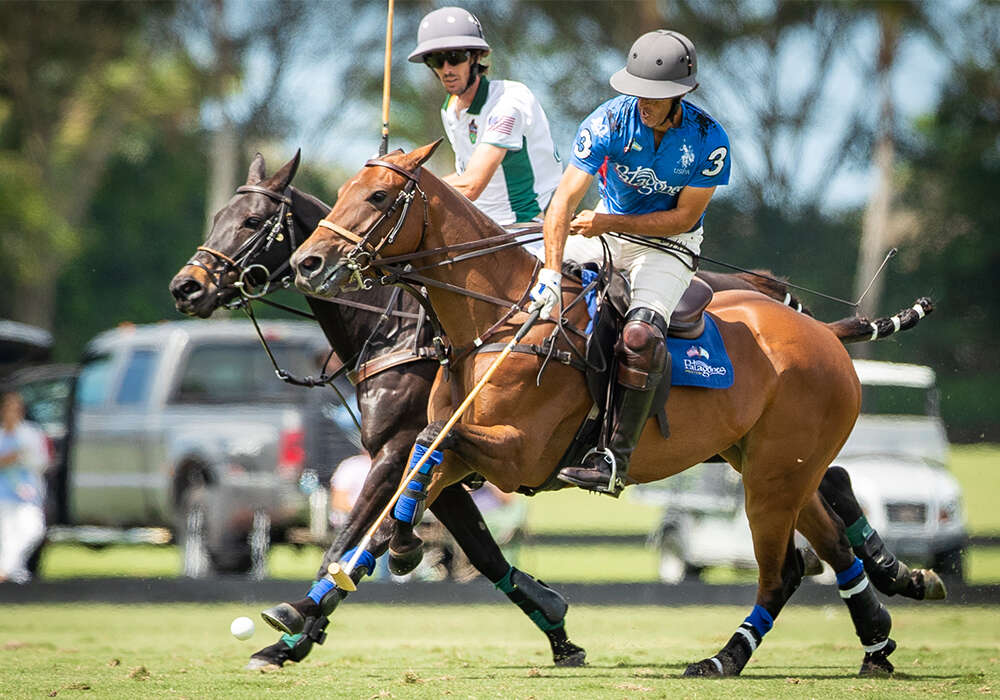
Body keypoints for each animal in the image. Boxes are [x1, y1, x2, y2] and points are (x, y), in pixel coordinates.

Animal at [288, 144, 936, 680]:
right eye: (342, 190)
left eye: (377, 196)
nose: (307, 263)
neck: (495, 319)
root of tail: (825, 332)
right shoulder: (458, 444)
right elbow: (417, 477)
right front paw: (349, 581)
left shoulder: (519, 455)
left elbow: (425, 456)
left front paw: (378, 566)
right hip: (767, 464)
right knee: (830, 543)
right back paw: (877, 641)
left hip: (772, 477)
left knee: (785, 570)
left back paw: (724, 658)